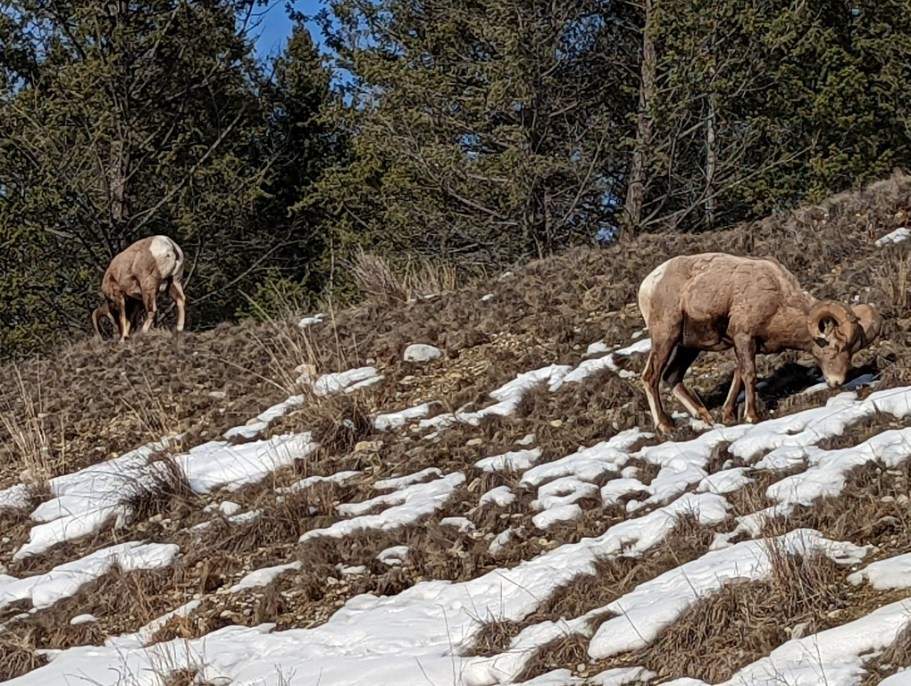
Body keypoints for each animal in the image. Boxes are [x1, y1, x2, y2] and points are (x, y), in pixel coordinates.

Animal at [637, 252, 881, 433]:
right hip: (665, 338)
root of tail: (647, 286)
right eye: (833, 347)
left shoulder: (747, 345)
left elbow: (738, 374)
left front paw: (728, 416)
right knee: (651, 376)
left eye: (852, 352)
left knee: (672, 377)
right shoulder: (744, 337)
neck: (778, 300)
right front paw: (751, 416)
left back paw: (705, 417)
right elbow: (749, 375)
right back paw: (665, 426)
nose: (837, 382)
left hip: (688, 346)